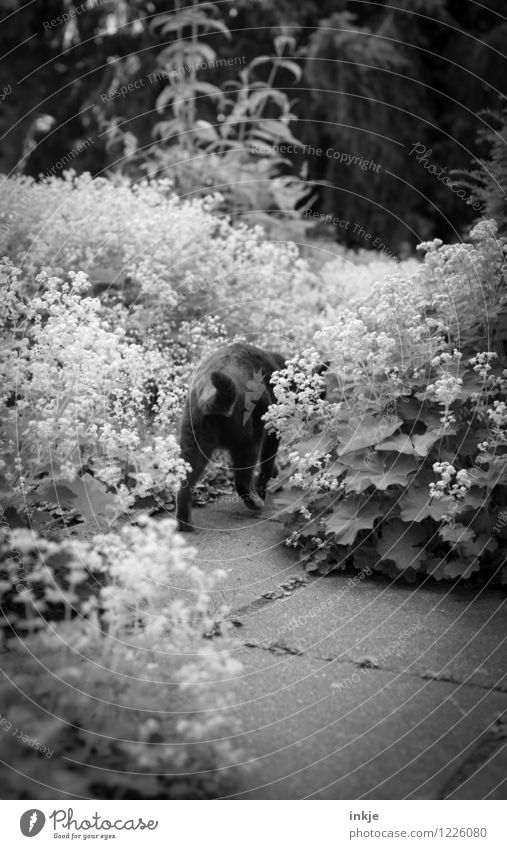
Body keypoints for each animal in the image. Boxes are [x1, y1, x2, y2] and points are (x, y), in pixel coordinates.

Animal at [176, 340, 286, 528]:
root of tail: (210, 395)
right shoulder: (272, 429)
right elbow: (267, 462)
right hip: (249, 440)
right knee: (242, 482)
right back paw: (256, 502)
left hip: (193, 444)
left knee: (184, 484)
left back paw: (184, 523)